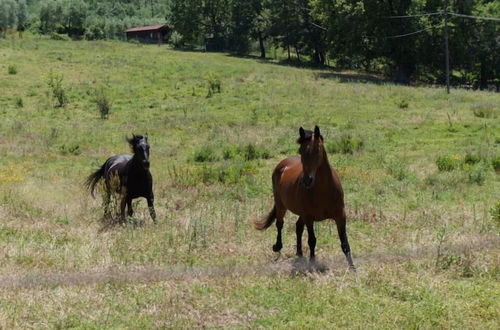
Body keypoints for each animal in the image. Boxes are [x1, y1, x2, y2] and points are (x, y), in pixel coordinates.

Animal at [254, 126, 356, 270]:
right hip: (281, 205)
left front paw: (353, 268)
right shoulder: (309, 217)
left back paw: (300, 253)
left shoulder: (340, 215)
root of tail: (282, 165)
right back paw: (278, 246)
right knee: (280, 224)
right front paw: (312, 262)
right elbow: (312, 240)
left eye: (317, 150)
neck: (324, 191)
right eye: (300, 150)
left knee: (298, 227)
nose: (307, 181)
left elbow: (345, 243)